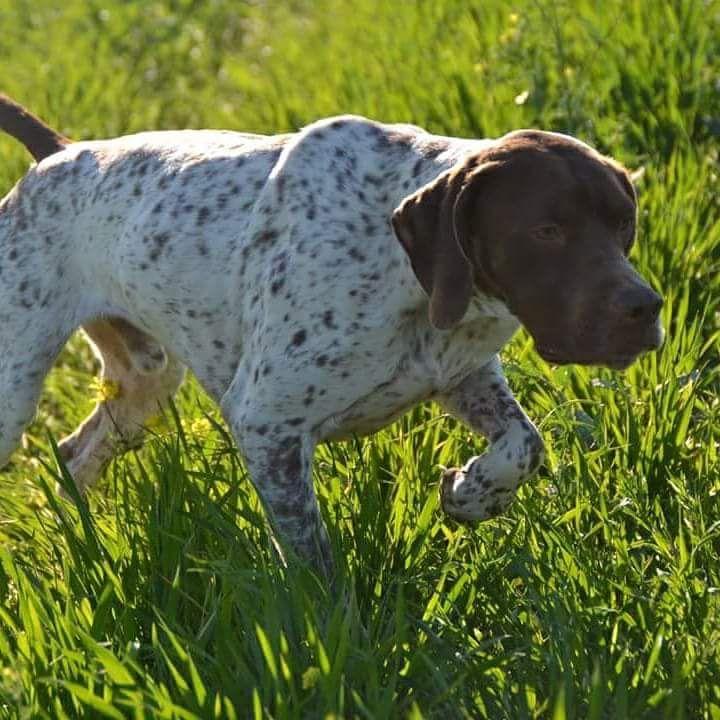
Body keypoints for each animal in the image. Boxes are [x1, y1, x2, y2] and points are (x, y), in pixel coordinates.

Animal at [0, 95, 664, 580]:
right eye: (547, 230)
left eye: (623, 224)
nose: (645, 308)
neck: (401, 268)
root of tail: (61, 153)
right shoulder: (267, 424)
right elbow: (316, 565)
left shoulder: (461, 375)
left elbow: (524, 445)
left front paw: (472, 494)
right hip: (15, 392)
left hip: (147, 384)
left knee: (73, 455)